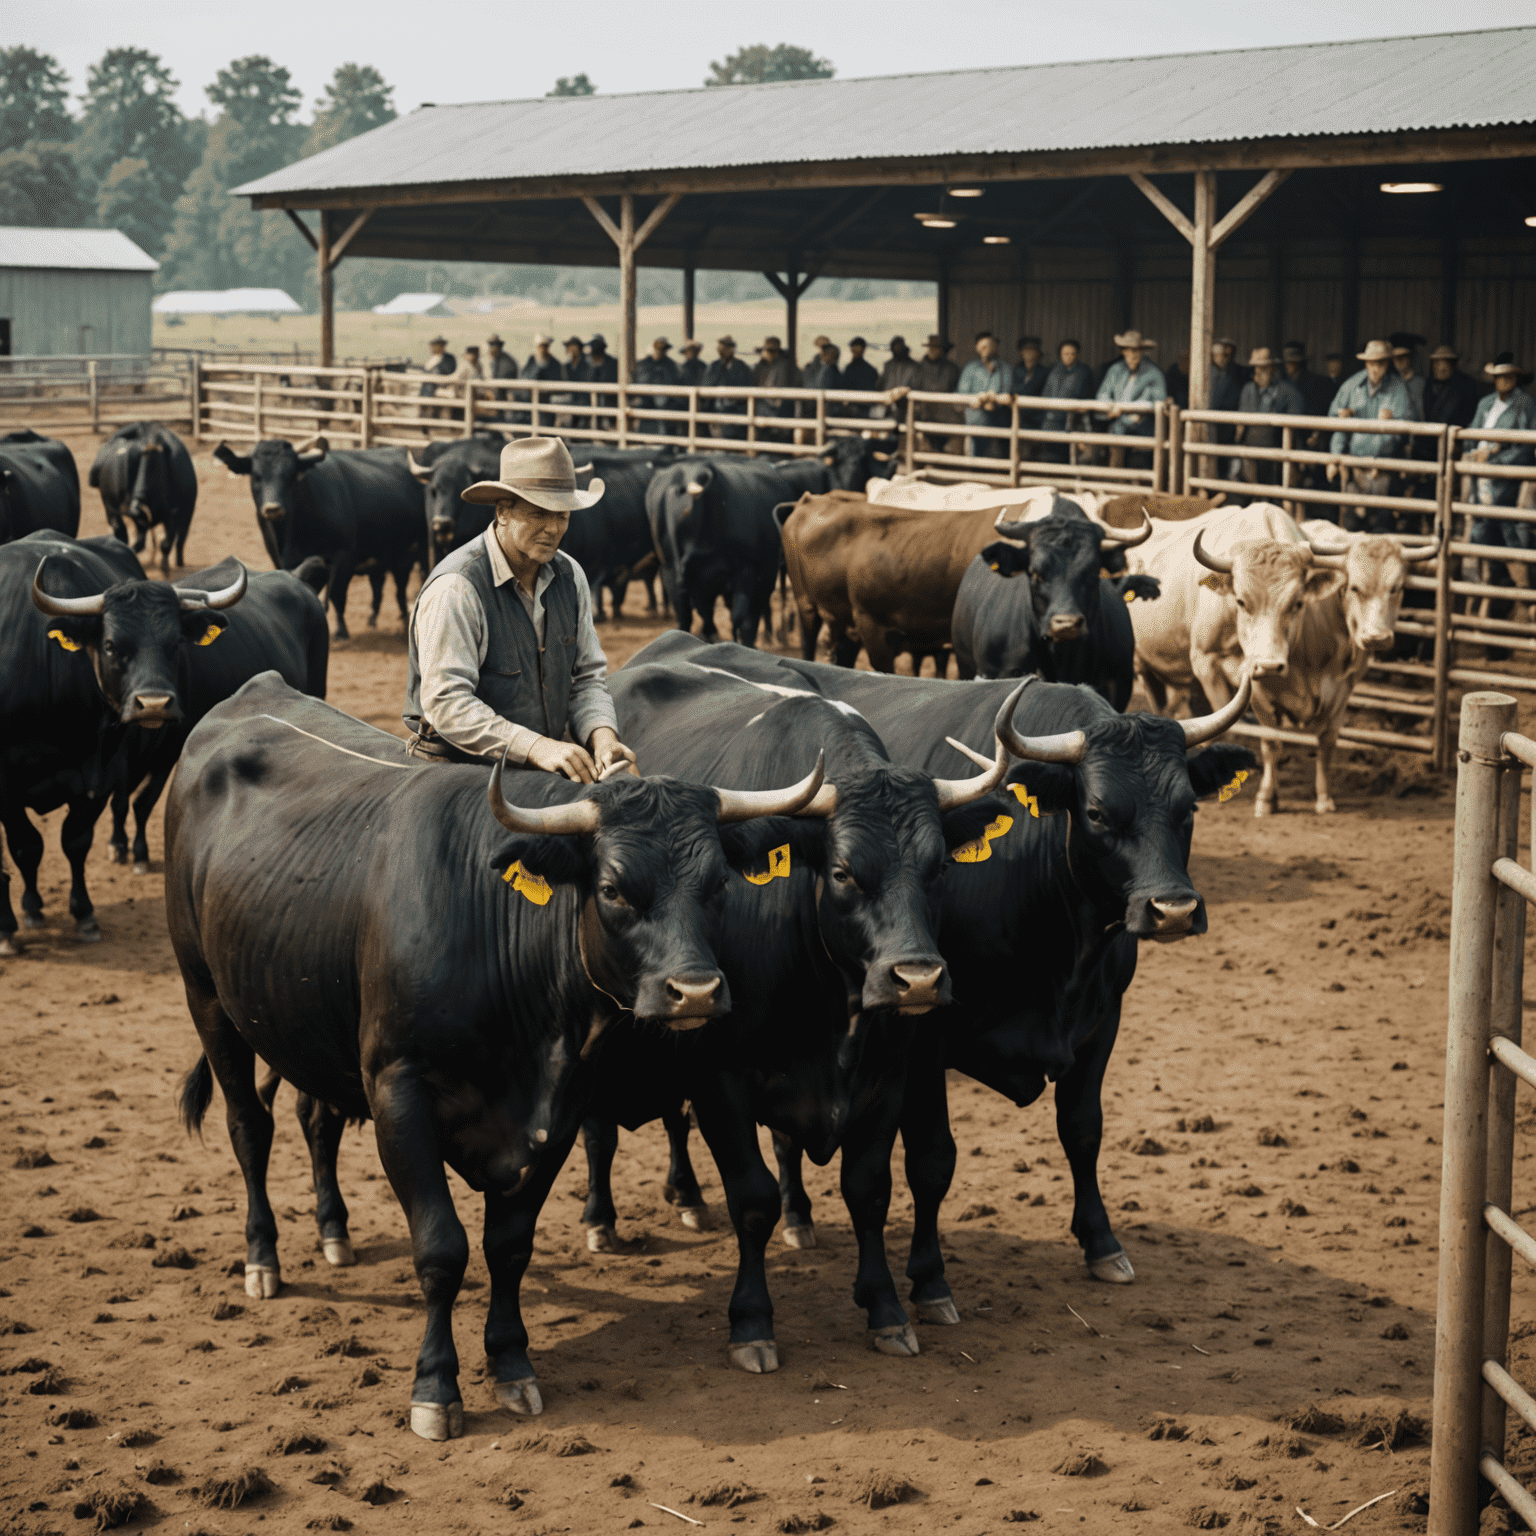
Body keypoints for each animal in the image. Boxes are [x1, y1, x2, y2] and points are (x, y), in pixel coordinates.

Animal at [165, 672, 829, 1437]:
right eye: (610, 888)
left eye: (718, 885)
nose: (695, 992)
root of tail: (251, 695)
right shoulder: (398, 1092)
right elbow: (441, 1248)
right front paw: (435, 1387)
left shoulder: (556, 1112)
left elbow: (508, 1244)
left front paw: (511, 1363)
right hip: (208, 999)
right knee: (250, 1126)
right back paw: (263, 1259)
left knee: (316, 1118)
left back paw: (334, 1232)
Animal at [592, 629, 1253, 1314]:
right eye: (1097, 811)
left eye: (1187, 807)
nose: (1172, 909)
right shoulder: (926, 1037)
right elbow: (933, 1160)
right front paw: (929, 1279)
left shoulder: (1101, 1021)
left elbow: (1083, 1129)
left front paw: (1102, 1243)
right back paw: (669, 1201)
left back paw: (794, 1215)